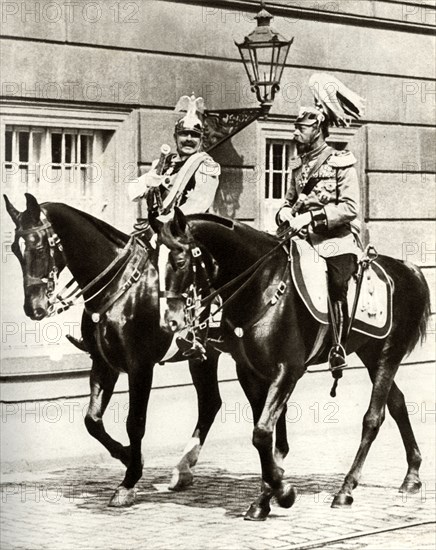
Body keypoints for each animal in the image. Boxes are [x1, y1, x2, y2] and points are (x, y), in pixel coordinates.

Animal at [2, 194, 221, 508]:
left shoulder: (140, 366)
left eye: (39, 245)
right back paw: (184, 469)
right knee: (211, 403)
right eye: (14, 249)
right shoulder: (103, 363)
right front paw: (129, 456)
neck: (120, 286)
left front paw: (130, 480)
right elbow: (92, 421)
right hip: (205, 356)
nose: (34, 308)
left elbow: (135, 423)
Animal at [158, 210, 432, 520]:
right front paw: (266, 496)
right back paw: (412, 475)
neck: (263, 286)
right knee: (397, 404)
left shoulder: (288, 371)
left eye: (180, 261)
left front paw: (282, 492)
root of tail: (409, 269)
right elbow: (264, 435)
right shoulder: (250, 373)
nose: (171, 321)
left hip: (388, 354)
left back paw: (346, 489)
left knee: (374, 418)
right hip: (372, 355)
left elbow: (263, 433)